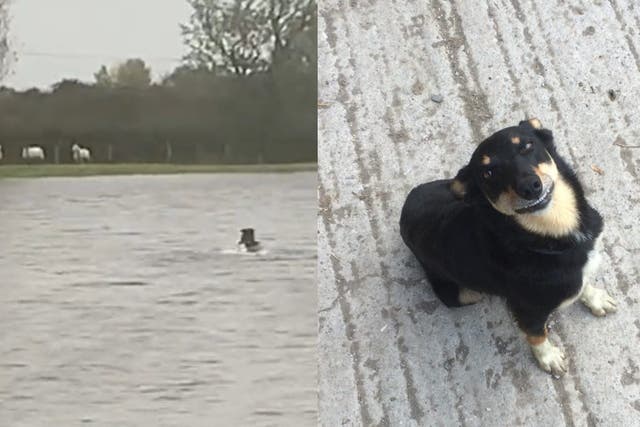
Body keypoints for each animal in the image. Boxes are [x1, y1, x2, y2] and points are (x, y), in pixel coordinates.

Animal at [400, 118, 616, 376]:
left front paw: (595, 298)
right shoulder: (528, 310)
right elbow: (537, 335)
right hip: (463, 293)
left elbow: (584, 284)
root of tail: (404, 211)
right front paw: (548, 357)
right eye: (488, 173)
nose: (530, 187)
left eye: (527, 146)